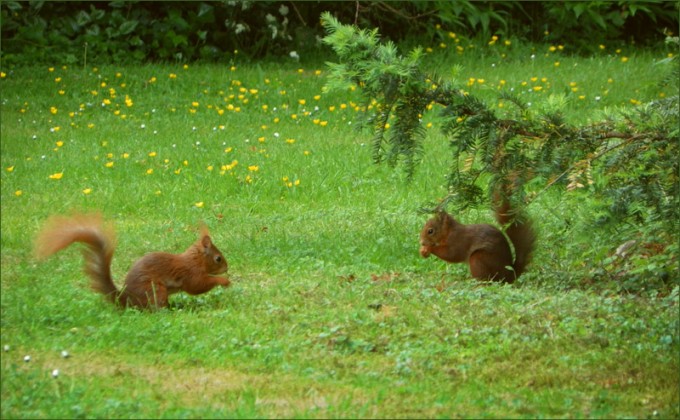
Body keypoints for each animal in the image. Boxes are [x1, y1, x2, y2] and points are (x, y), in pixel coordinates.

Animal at [34, 213, 230, 309]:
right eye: (218, 259)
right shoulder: (190, 273)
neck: (195, 260)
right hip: (155, 290)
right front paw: (223, 281)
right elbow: (197, 286)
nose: (227, 268)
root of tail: (127, 299)